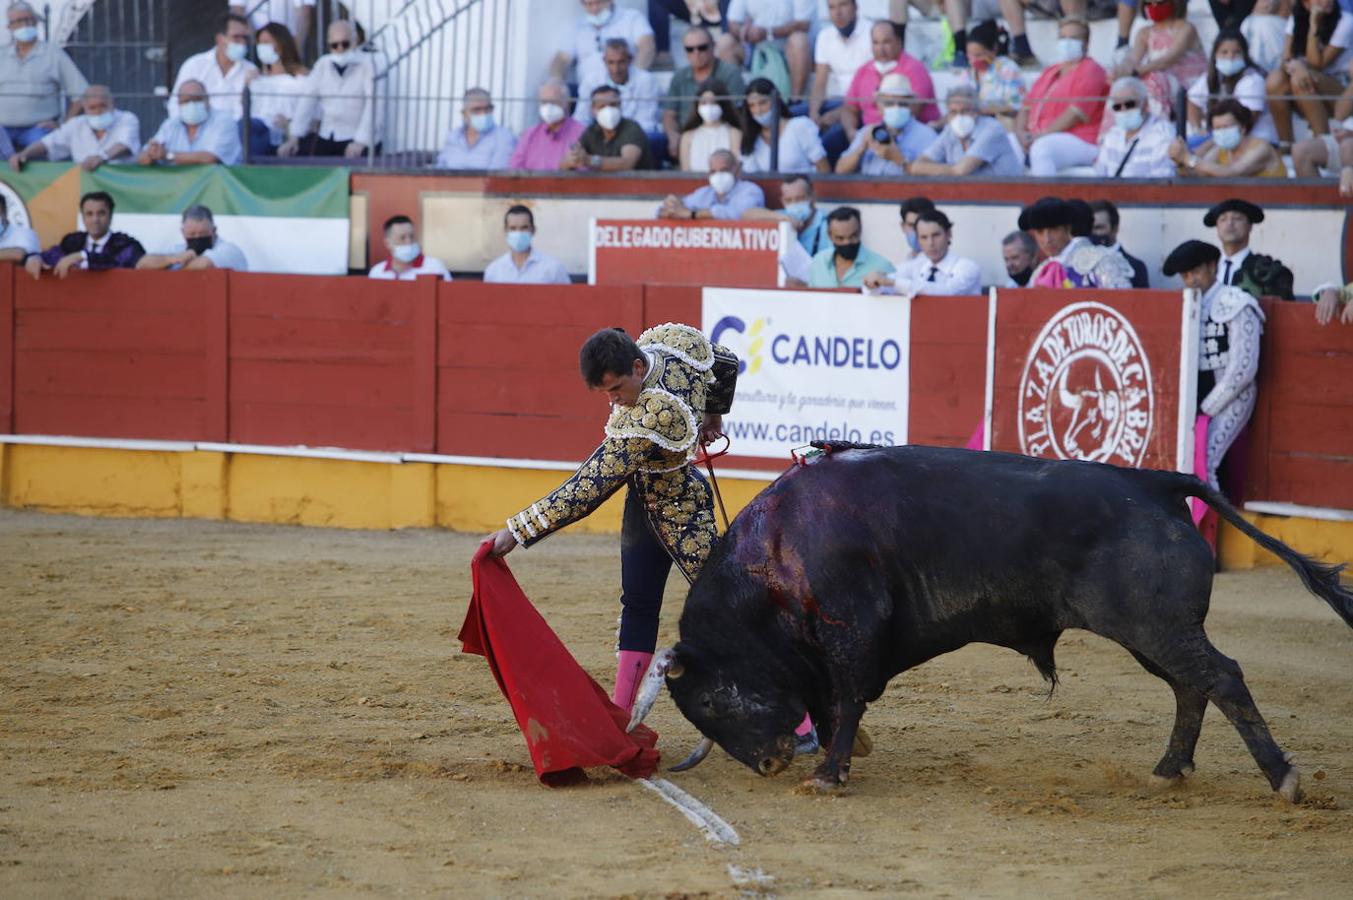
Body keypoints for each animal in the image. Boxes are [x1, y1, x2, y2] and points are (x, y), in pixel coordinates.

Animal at [630, 443, 1353, 801]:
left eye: (711, 701)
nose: (769, 764)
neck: (775, 557)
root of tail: (1155, 483)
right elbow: (836, 702)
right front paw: (840, 758)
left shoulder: (851, 630)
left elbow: (847, 696)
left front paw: (830, 775)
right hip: (1154, 633)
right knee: (1190, 686)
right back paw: (1169, 768)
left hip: (1155, 627)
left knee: (1221, 677)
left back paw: (1282, 780)